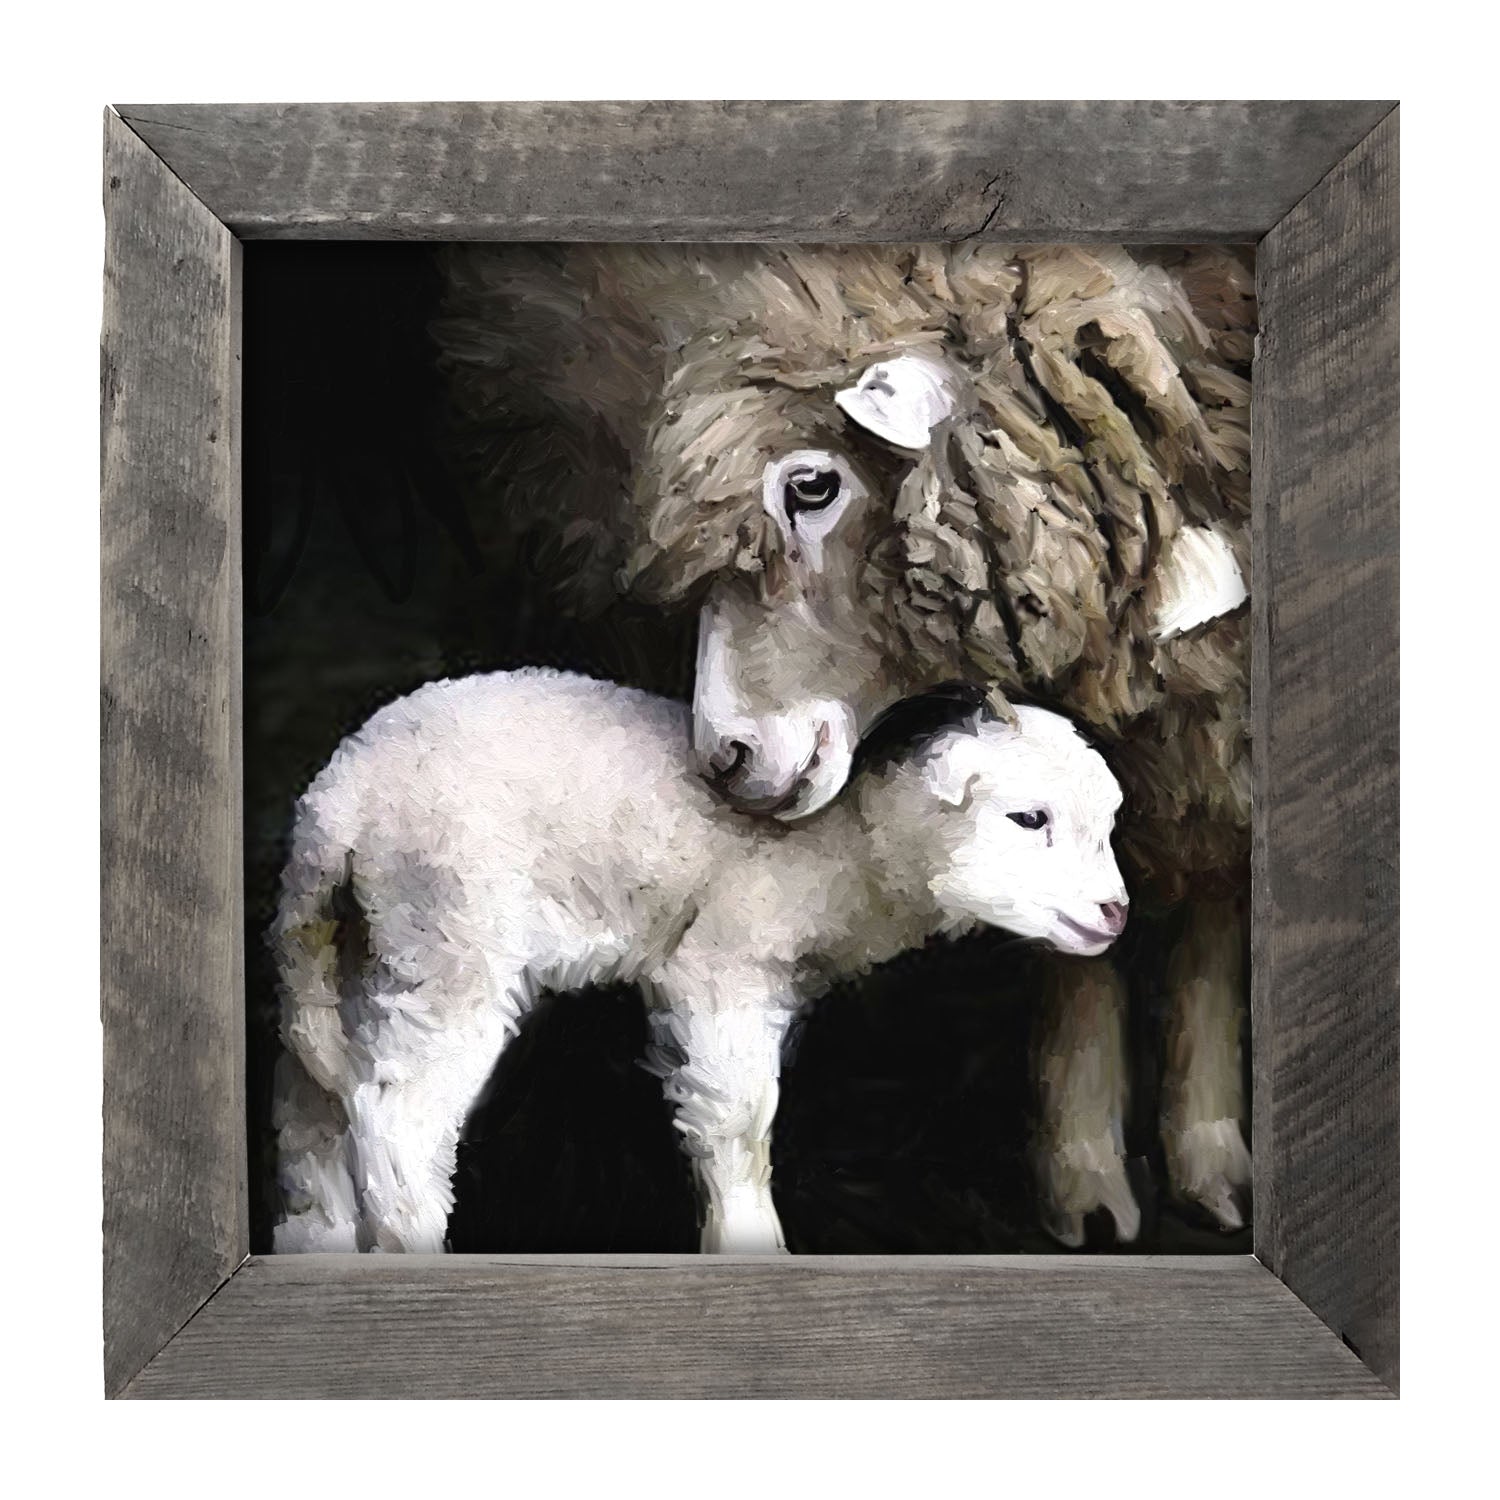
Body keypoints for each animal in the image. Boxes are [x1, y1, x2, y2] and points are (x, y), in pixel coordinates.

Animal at [271, 668, 1128, 1254]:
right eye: (1028, 819)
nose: (1115, 913)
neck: (851, 849)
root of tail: (336, 804)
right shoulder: (722, 966)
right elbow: (741, 1123)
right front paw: (751, 1241)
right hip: (453, 940)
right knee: (397, 1119)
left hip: (368, 949)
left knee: (316, 1109)